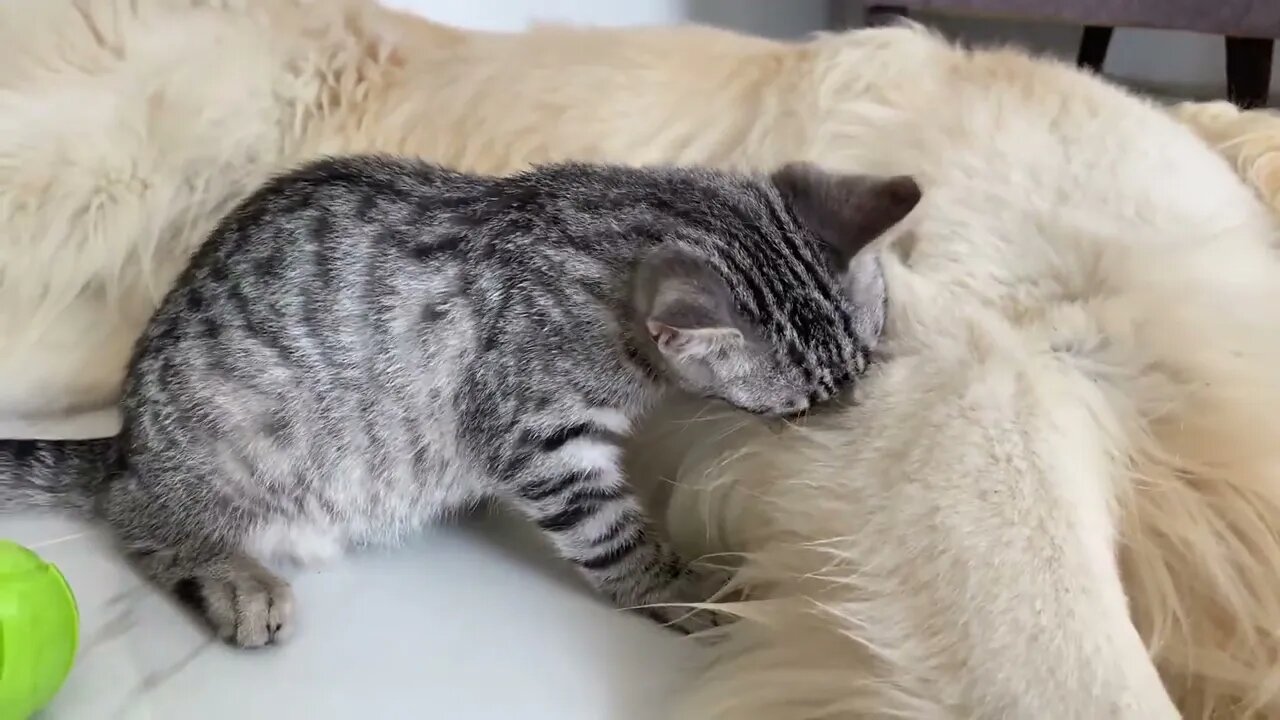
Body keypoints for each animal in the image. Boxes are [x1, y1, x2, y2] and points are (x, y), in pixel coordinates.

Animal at [0, 155, 921, 645]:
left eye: (860, 370)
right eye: (796, 407)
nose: (844, 429)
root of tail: (128, 439)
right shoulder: (539, 433)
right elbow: (613, 536)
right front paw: (681, 587)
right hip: (229, 440)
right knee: (137, 513)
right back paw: (234, 578)